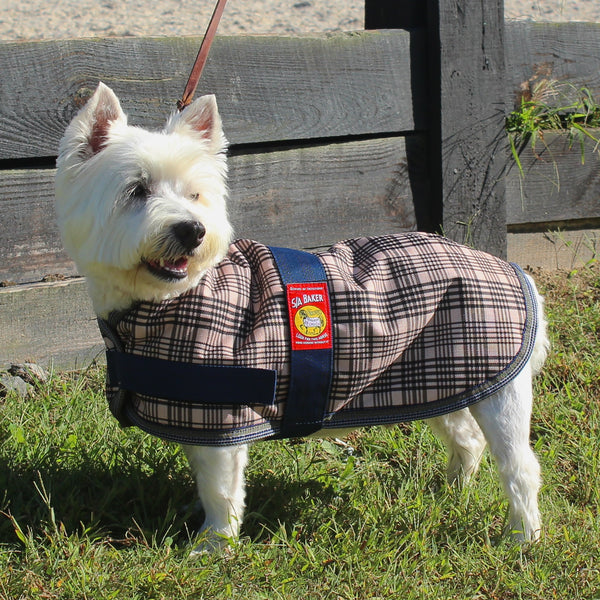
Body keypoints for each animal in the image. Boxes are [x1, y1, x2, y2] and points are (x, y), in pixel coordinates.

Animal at [56, 83, 548, 552]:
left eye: (195, 194)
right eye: (136, 190)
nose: (193, 229)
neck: (166, 300)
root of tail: (512, 270)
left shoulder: (223, 416)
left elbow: (220, 490)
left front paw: (213, 545)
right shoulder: (198, 418)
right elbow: (201, 472)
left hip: (499, 395)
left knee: (520, 467)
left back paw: (522, 537)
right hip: (443, 378)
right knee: (466, 437)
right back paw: (450, 492)